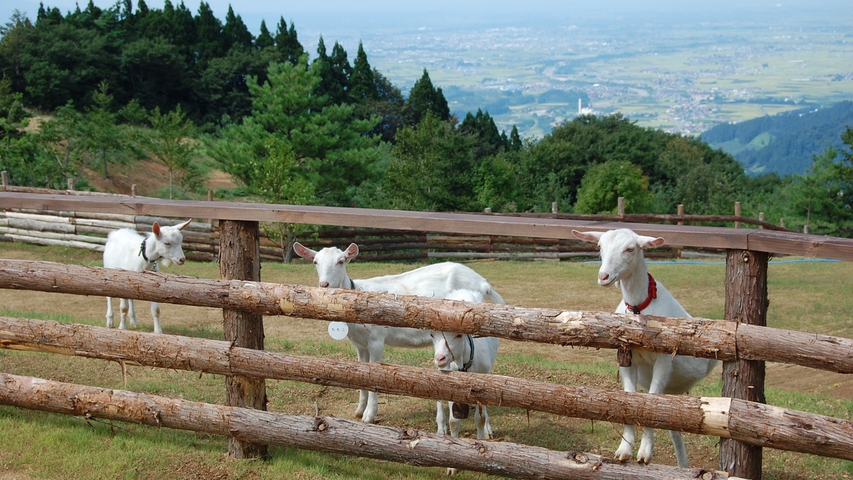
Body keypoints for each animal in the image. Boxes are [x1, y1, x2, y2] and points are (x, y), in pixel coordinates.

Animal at [292, 242, 506, 422]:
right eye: (315, 262)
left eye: (341, 261)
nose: (324, 285)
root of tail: (483, 282)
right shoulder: (360, 345)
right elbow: (361, 372)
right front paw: (359, 410)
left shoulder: (376, 340)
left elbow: (374, 374)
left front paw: (369, 415)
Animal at [430, 286, 496, 444]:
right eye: (432, 335)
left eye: (459, 335)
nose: (439, 358)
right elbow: (454, 421)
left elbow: (481, 418)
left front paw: (482, 437)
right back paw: (440, 428)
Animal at [572, 229, 720, 468]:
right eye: (600, 246)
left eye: (630, 248)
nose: (603, 276)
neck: (639, 308)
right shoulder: (626, 357)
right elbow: (630, 397)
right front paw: (624, 450)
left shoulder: (664, 360)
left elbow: (650, 399)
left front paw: (644, 454)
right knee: (675, 430)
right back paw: (683, 466)